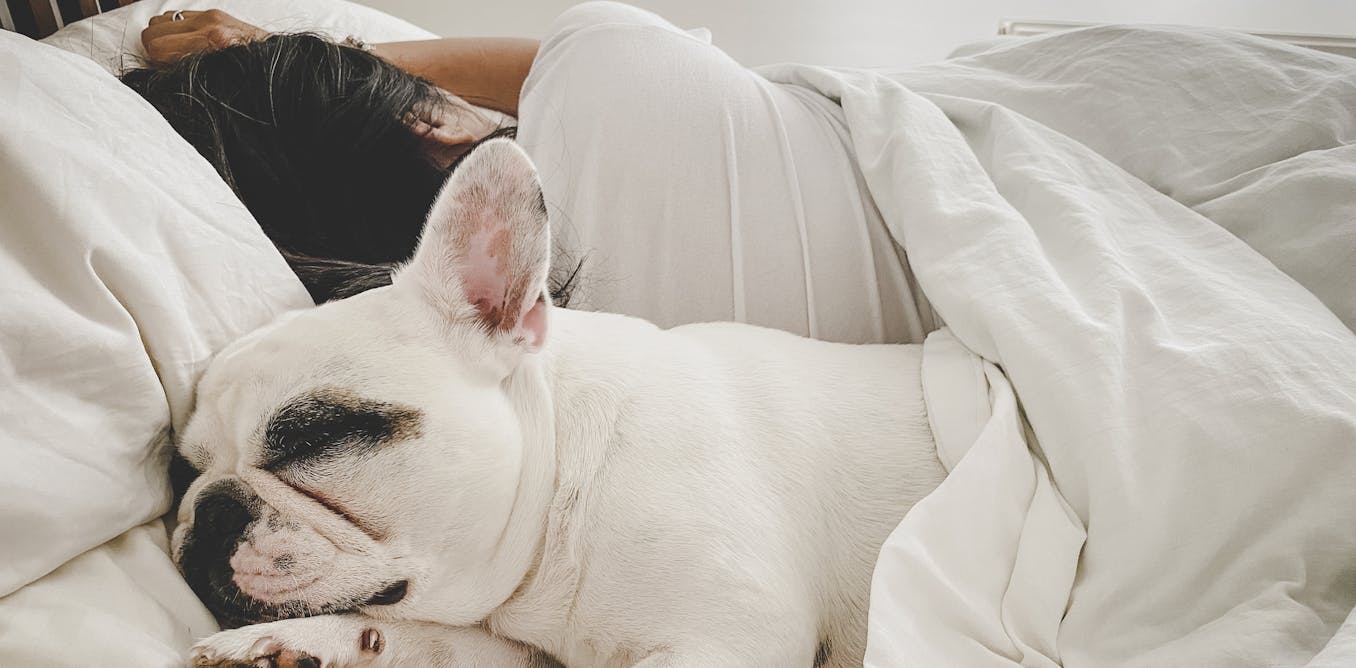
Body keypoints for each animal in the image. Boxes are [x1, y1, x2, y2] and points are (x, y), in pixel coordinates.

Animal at [177, 138, 943, 663]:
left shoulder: (732, 637)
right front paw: (309, 642)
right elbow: (431, 640)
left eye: (319, 438)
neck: (564, 493)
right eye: (183, 469)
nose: (207, 511)